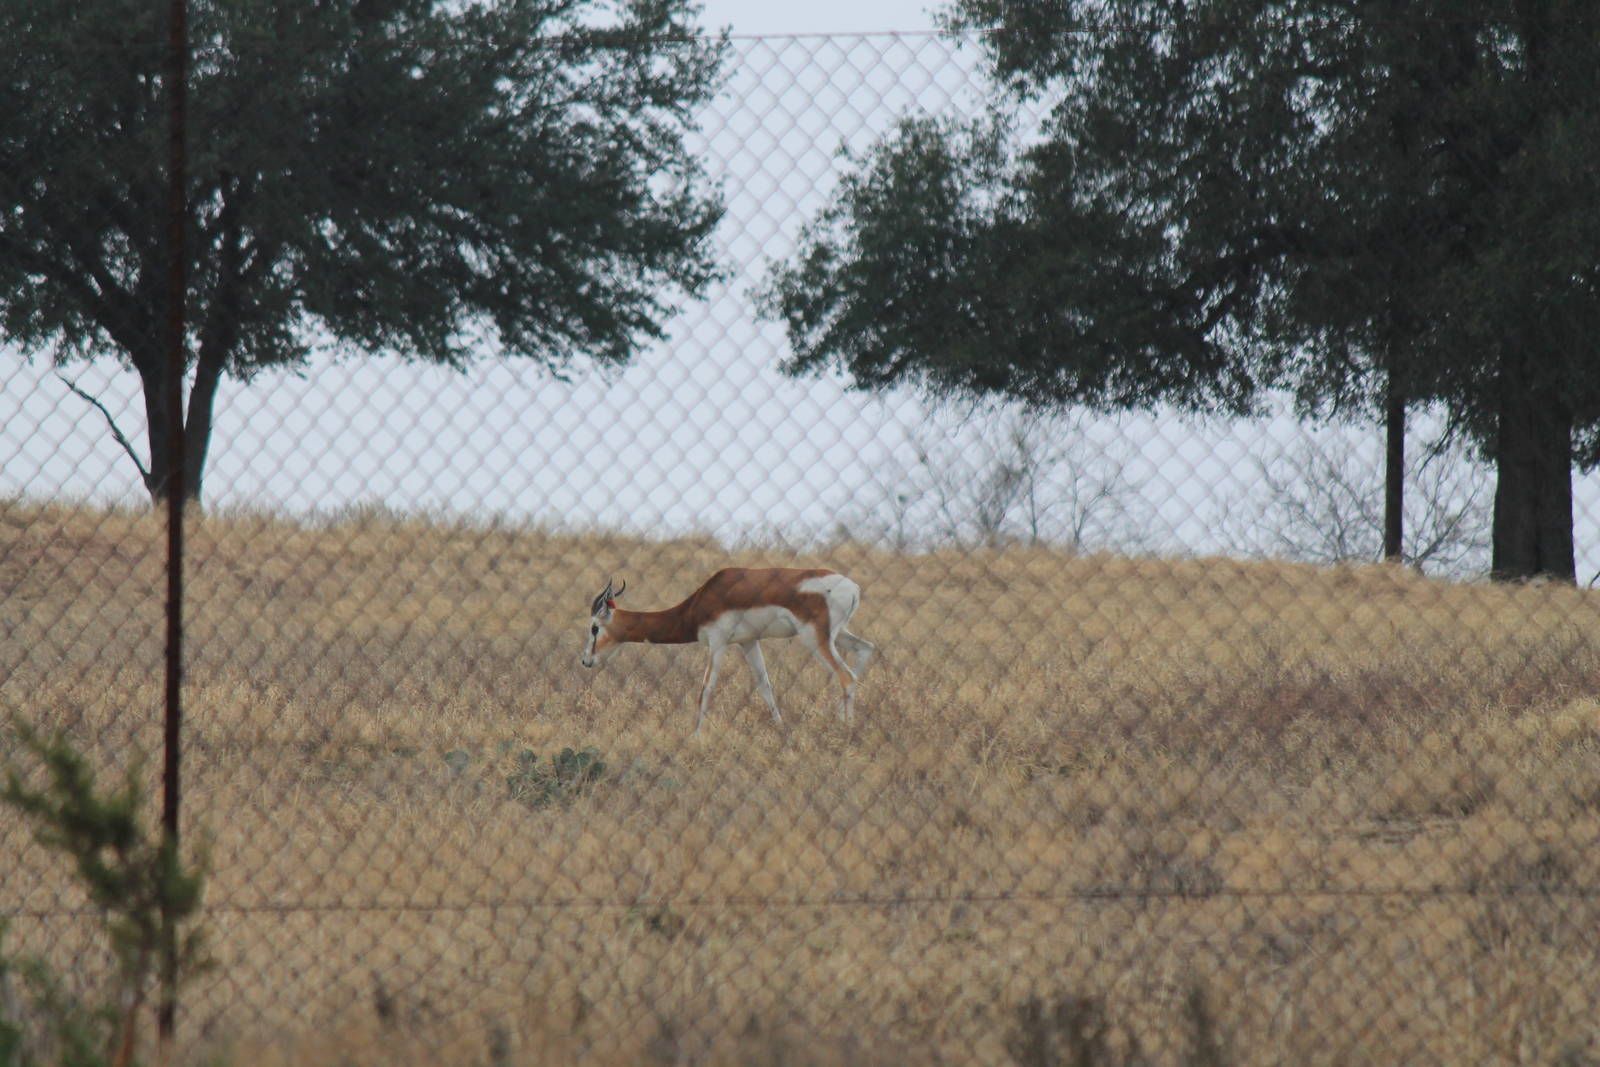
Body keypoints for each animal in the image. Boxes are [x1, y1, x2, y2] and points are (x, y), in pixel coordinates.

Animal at [580, 568, 876, 736]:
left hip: (813, 637)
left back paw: (846, 729)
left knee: (847, 676)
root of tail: (853, 587)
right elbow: (765, 686)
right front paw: (781, 729)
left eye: (594, 628)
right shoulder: (748, 642)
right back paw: (840, 719)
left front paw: (695, 737)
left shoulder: (717, 642)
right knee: (865, 649)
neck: (699, 603)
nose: (586, 660)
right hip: (837, 634)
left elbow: (705, 690)